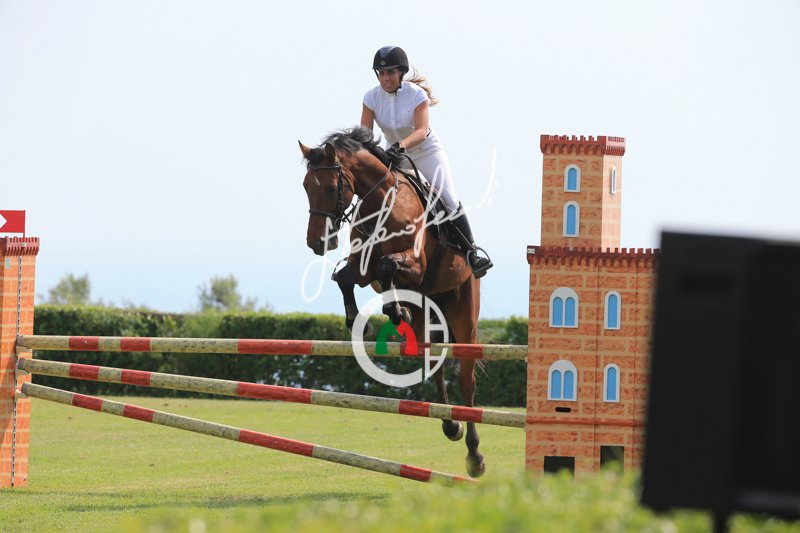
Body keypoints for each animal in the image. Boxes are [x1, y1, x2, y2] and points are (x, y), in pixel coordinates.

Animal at [298, 126, 486, 478]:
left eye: (330, 188)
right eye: (305, 187)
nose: (317, 242)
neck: (380, 200)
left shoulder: (414, 264)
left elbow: (388, 266)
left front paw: (393, 311)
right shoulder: (364, 267)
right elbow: (346, 277)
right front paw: (360, 321)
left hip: (464, 312)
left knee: (467, 381)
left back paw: (474, 455)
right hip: (427, 312)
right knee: (433, 364)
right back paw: (450, 426)